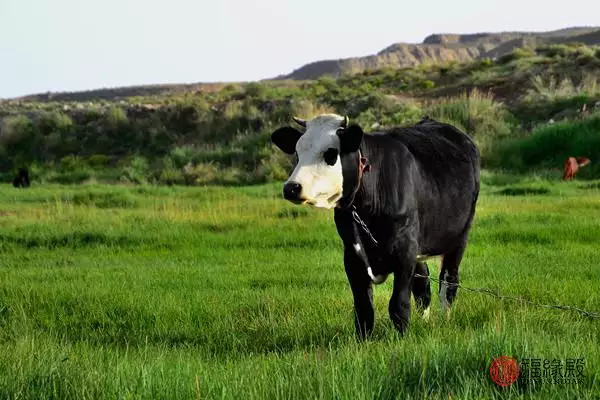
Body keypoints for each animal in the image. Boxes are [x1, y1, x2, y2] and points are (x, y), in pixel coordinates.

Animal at [270, 114, 480, 340]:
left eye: (330, 153)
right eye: (297, 153)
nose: (291, 188)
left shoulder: (405, 250)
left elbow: (398, 304)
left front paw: (401, 339)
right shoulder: (352, 255)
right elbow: (364, 307)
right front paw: (363, 341)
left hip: (459, 238)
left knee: (448, 282)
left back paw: (445, 319)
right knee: (423, 286)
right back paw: (425, 321)